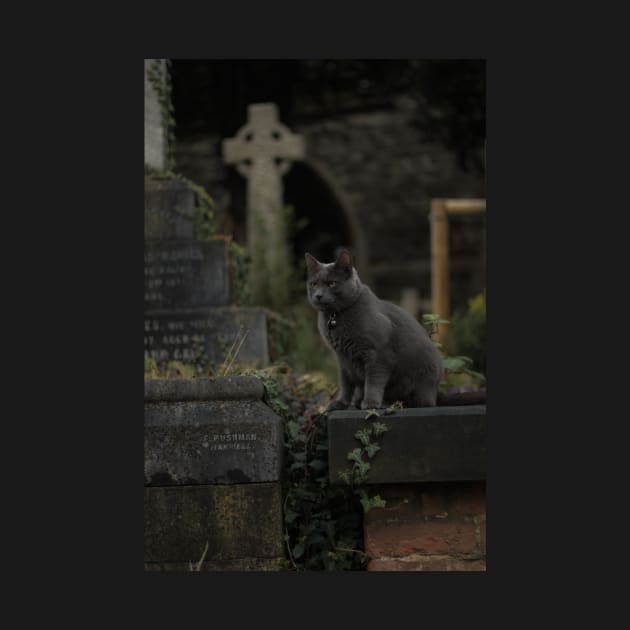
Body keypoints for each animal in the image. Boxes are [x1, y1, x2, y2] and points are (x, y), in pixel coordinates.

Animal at [308, 249, 446, 412]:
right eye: (314, 284)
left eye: (332, 283)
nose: (318, 295)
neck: (335, 316)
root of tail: (436, 392)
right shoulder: (342, 359)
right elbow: (345, 383)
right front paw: (340, 403)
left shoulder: (378, 355)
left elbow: (373, 381)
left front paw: (371, 403)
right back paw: (358, 402)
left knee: (419, 402)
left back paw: (385, 403)